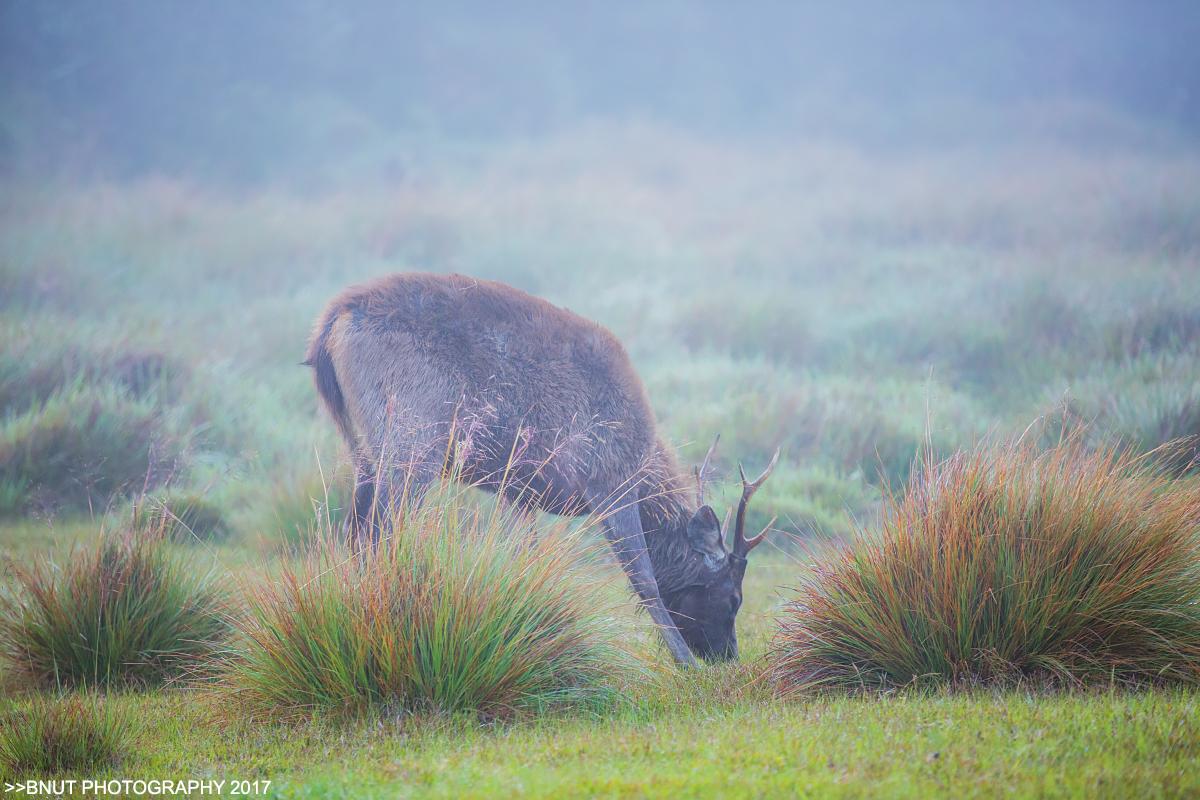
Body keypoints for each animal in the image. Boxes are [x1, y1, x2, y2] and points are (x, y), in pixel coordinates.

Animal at [304, 272, 777, 666]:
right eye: (733, 598)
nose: (729, 656)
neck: (644, 462)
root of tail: (330, 324)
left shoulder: (520, 488)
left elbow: (521, 561)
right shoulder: (610, 478)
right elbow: (644, 578)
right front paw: (684, 664)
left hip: (363, 447)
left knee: (354, 530)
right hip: (413, 433)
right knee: (382, 531)